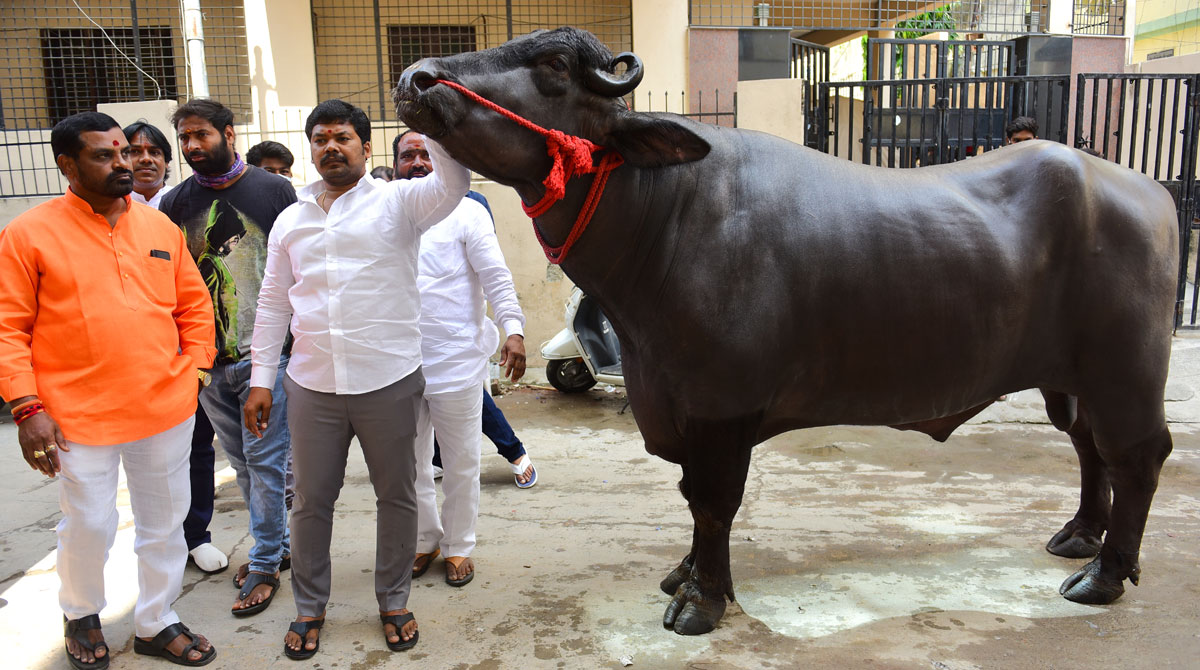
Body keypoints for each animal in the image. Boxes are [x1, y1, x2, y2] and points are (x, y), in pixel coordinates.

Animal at [393, 27, 1178, 635]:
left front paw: (702, 601)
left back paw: (1106, 574)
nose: (415, 78)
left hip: (1126, 370)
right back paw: (1078, 536)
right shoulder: (676, 404)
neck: (664, 219)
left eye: (553, 67)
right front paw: (683, 574)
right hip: (1069, 378)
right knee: (1089, 448)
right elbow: (691, 497)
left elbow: (712, 503)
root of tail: (1147, 190)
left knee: (1138, 455)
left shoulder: (721, 409)